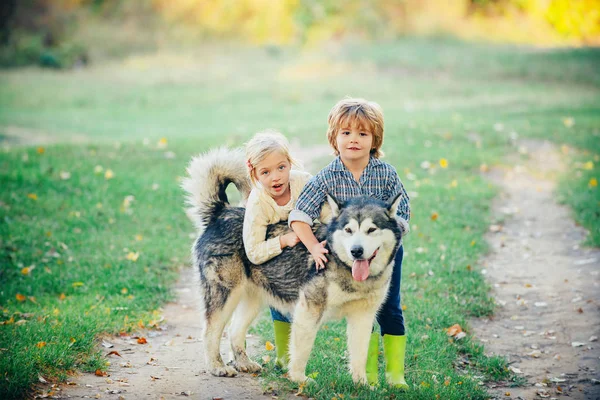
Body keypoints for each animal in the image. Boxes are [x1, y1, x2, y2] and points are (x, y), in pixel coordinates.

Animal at [182, 148, 404, 384]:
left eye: (371, 230)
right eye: (349, 230)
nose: (357, 251)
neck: (343, 264)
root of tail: (222, 212)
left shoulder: (363, 316)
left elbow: (360, 354)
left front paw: (362, 384)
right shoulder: (308, 310)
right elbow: (302, 350)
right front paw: (299, 379)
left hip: (253, 299)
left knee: (234, 330)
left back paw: (243, 363)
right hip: (224, 295)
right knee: (210, 331)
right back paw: (217, 366)